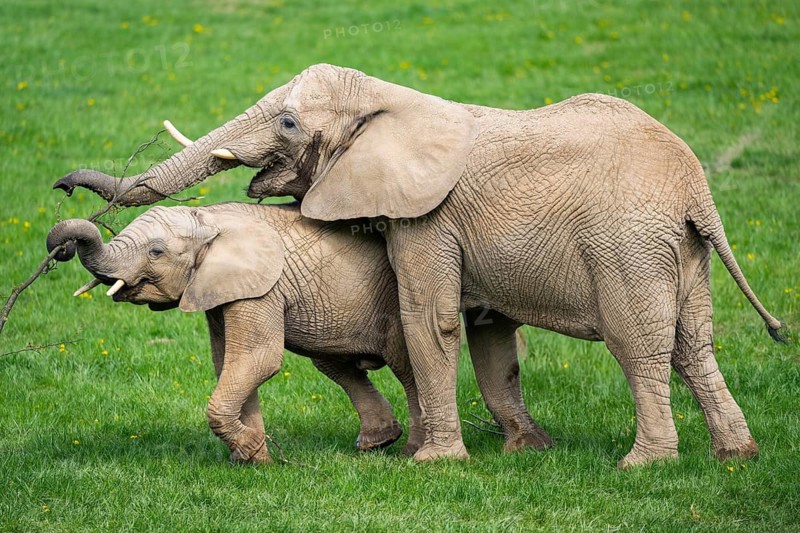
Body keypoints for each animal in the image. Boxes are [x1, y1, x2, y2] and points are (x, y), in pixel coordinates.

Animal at [54, 64, 784, 468]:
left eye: (287, 123)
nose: (62, 187)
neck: (393, 98)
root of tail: (696, 187)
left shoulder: (427, 214)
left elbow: (429, 317)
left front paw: (433, 463)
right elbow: (491, 335)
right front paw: (524, 452)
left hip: (628, 243)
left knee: (637, 342)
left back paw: (642, 466)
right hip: (677, 247)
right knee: (693, 343)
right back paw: (736, 456)